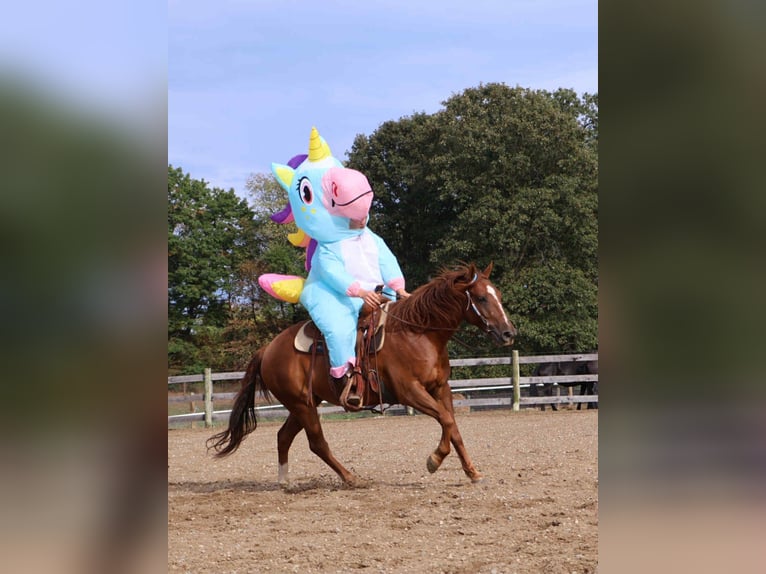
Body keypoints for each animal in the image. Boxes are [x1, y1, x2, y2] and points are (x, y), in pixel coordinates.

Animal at [207, 262, 516, 486]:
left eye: (499, 296)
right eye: (480, 298)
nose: (508, 333)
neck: (418, 332)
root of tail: (267, 349)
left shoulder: (440, 388)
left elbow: (453, 427)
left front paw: (472, 472)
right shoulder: (410, 391)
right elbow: (446, 420)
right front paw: (434, 460)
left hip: (304, 403)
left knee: (284, 436)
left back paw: (285, 482)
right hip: (302, 405)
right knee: (317, 443)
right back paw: (351, 478)